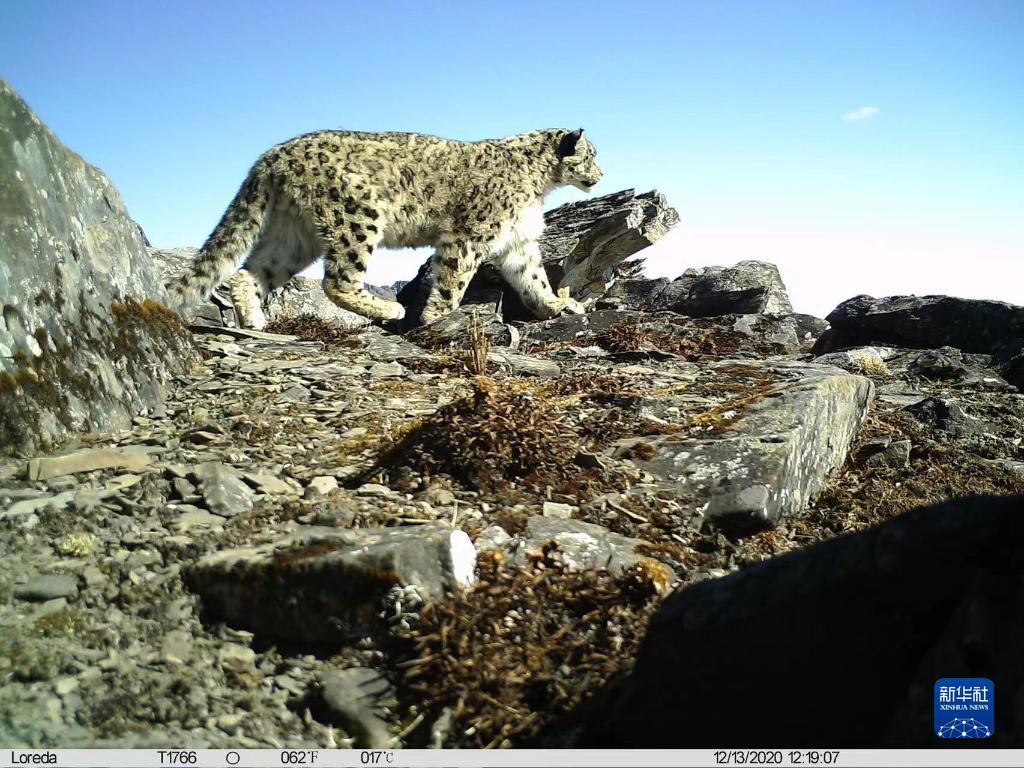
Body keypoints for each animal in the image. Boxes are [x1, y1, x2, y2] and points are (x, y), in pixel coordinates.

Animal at [163, 125, 602, 327]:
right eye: (591, 155)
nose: (601, 174)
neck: (538, 185)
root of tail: (271, 156)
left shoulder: (518, 240)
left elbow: (533, 277)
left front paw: (557, 304)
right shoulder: (470, 234)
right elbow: (453, 281)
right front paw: (435, 318)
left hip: (293, 236)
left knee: (247, 274)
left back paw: (257, 323)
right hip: (357, 216)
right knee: (338, 280)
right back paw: (390, 308)